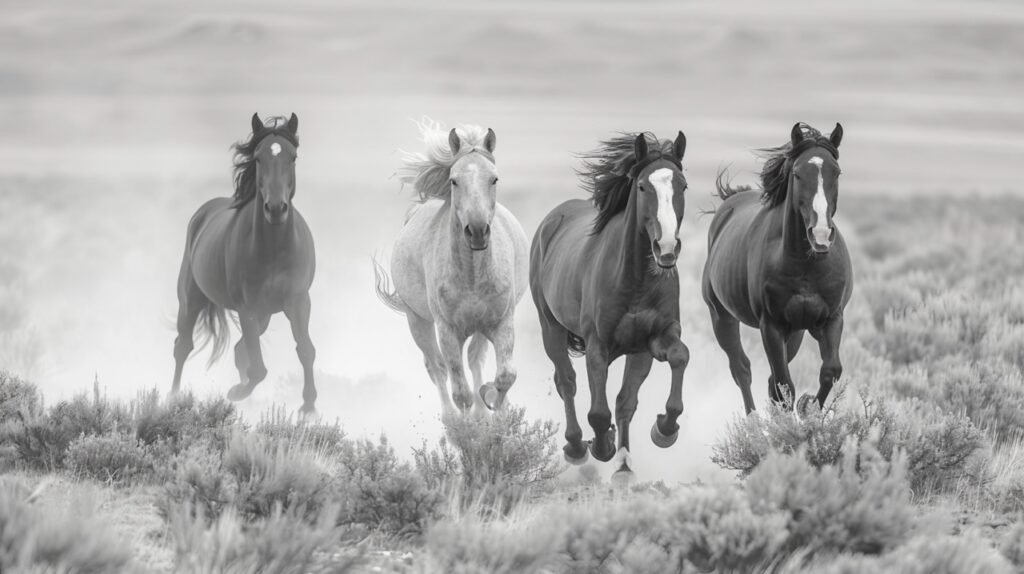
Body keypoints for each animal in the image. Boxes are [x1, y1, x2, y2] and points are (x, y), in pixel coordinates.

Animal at [169, 112, 317, 413]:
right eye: (258, 158)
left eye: (293, 157)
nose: (276, 209)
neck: (274, 250)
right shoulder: (247, 308)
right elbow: (258, 368)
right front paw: (236, 392)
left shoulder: (298, 302)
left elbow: (306, 350)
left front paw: (309, 407)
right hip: (191, 300)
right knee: (183, 346)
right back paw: (173, 400)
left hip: (264, 315)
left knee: (239, 351)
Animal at [374, 119, 528, 415]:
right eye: (454, 180)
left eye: (494, 178)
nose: (477, 231)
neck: (472, 276)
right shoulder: (447, 331)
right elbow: (460, 393)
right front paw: (467, 424)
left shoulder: (501, 323)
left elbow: (505, 376)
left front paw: (496, 410)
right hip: (417, 321)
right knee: (437, 368)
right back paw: (451, 420)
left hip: (478, 329)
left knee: (474, 360)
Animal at [532, 130, 692, 482]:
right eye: (643, 186)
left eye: (683, 186)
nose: (666, 248)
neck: (633, 280)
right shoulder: (598, 346)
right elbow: (598, 412)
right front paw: (601, 447)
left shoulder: (650, 342)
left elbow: (673, 361)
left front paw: (663, 431)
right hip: (550, 327)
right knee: (566, 382)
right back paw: (577, 447)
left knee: (618, 400)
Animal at [704, 121, 856, 415]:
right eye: (797, 173)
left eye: (837, 172)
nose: (820, 234)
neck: (807, 266)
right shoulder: (771, 326)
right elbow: (783, 385)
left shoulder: (831, 319)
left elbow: (830, 371)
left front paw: (809, 408)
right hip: (721, 316)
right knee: (742, 370)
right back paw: (752, 422)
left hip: (795, 333)